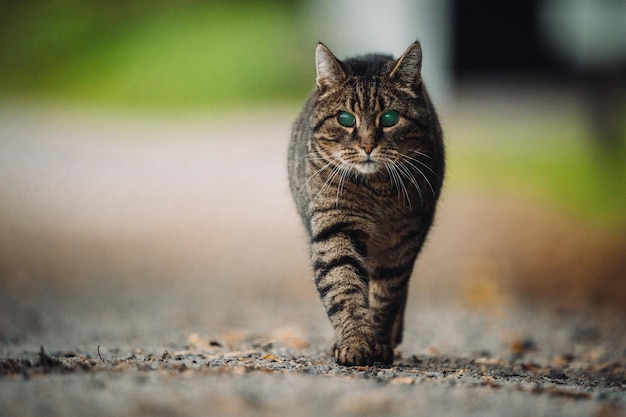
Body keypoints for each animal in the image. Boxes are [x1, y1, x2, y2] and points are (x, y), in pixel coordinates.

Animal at [288, 40, 444, 362]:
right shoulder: (335, 227)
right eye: (345, 119)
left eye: (390, 118)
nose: (368, 146)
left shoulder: (402, 240)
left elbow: (387, 296)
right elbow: (343, 287)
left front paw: (380, 343)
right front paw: (356, 343)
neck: (376, 190)